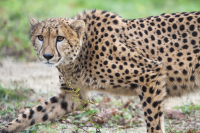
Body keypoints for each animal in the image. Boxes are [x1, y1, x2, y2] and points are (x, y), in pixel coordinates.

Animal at [1, 9, 200, 133]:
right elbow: (33, 113)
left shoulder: (151, 73)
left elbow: (153, 121)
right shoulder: (73, 95)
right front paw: (7, 128)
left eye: (60, 38)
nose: (48, 56)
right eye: (40, 37)